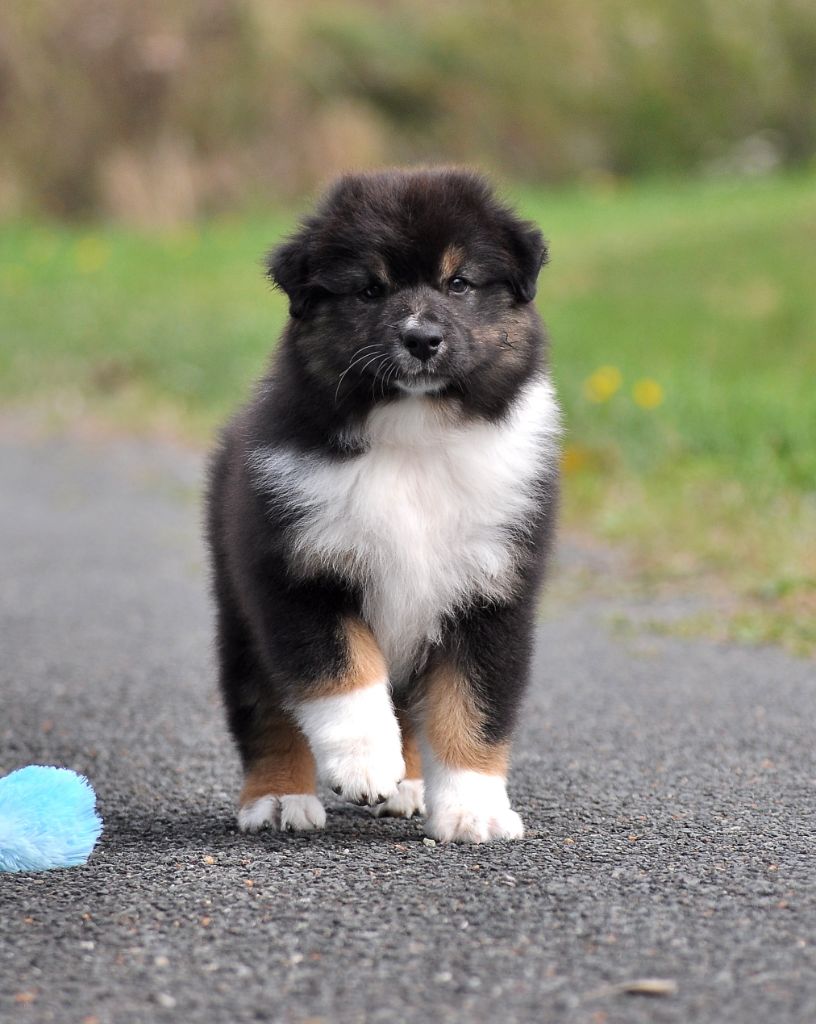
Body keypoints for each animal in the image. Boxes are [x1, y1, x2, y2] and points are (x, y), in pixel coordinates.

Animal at [205, 165, 561, 839]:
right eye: (370, 290)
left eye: (459, 283)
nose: (422, 338)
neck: (414, 439)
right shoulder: (299, 572)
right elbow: (342, 674)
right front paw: (365, 764)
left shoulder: (492, 591)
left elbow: (472, 707)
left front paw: (473, 809)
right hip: (239, 610)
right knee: (265, 708)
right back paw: (279, 798)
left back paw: (413, 787)